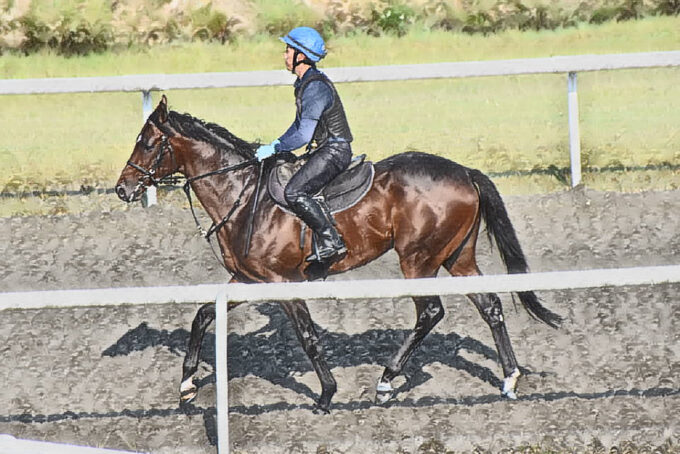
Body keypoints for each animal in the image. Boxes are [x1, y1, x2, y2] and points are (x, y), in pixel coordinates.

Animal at [118, 94, 564, 414]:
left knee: (431, 312)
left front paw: (327, 394)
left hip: (417, 259)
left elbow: (308, 337)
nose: (123, 189)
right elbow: (201, 316)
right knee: (490, 306)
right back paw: (509, 378)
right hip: (457, 258)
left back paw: (386, 380)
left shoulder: (283, 282)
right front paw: (186, 385)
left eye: (147, 143)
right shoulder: (247, 279)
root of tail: (464, 172)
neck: (242, 196)